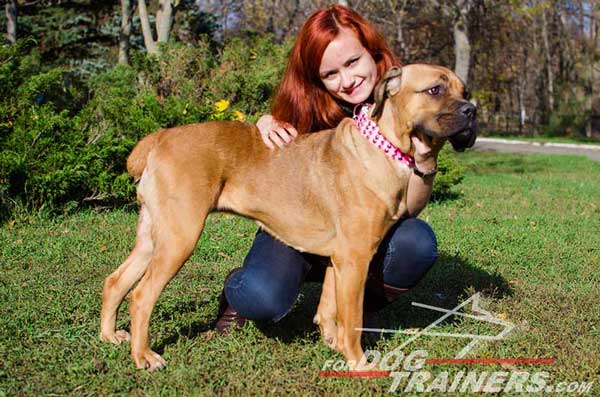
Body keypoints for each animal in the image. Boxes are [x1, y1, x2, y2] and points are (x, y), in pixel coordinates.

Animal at [102, 63, 478, 370]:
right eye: (435, 90)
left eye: (465, 92)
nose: (472, 110)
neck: (382, 145)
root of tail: (160, 137)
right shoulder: (355, 257)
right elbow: (351, 317)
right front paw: (358, 362)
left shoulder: (340, 259)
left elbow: (329, 308)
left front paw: (333, 344)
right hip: (179, 237)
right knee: (141, 296)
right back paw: (144, 356)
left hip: (153, 236)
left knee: (116, 281)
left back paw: (110, 336)